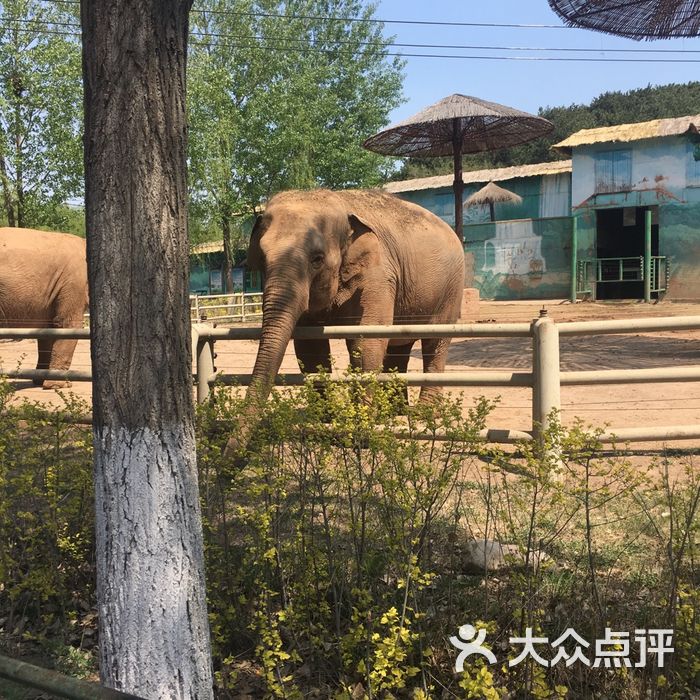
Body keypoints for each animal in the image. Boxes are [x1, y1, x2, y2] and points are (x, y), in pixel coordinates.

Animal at [226, 189, 464, 456]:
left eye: (317, 259)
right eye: (263, 260)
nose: (229, 458)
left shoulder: (378, 275)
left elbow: (365, 341)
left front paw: (360, 429)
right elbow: (309, 348)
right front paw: (324, 419)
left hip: (451, 288)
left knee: (435, 343)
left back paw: (424, 414)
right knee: (399, 347)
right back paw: (395, 411)